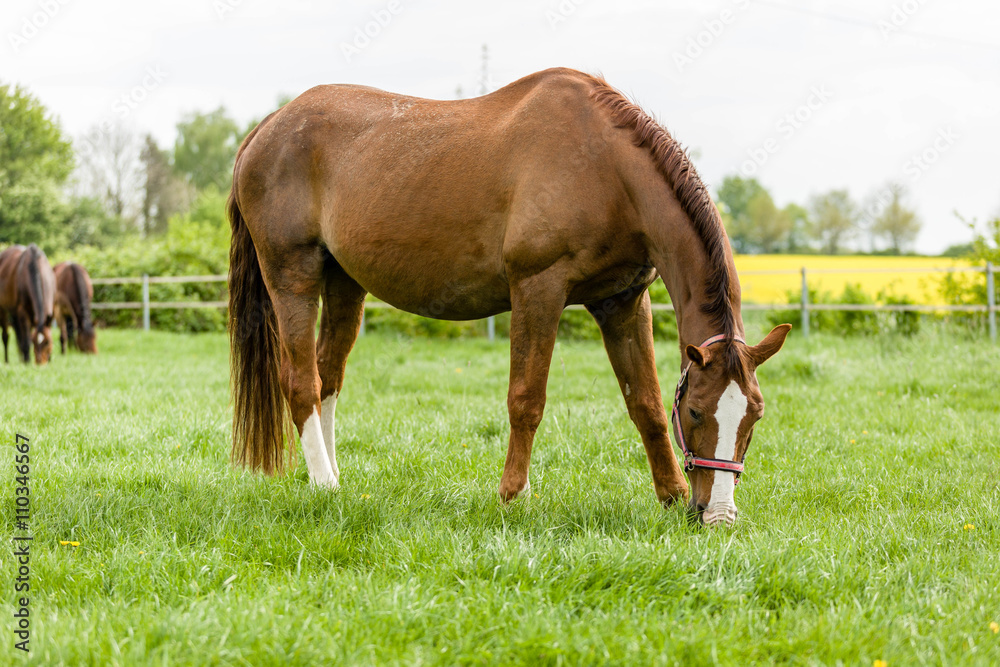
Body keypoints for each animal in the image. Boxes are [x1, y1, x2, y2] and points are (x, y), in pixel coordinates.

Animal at [227, 67, 792, 525]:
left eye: (755, 416)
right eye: (696, 412)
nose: (718, 515)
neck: (607, 168)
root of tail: (267, 128)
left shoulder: (624, 301)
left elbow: (646, 403)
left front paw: (670, 495)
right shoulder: (538, 289)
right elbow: (527, 399)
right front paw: (513, 495)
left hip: (345, 283)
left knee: (328, 379)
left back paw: (333, 480)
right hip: (293, 276)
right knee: (301, 382)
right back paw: (323, 484)